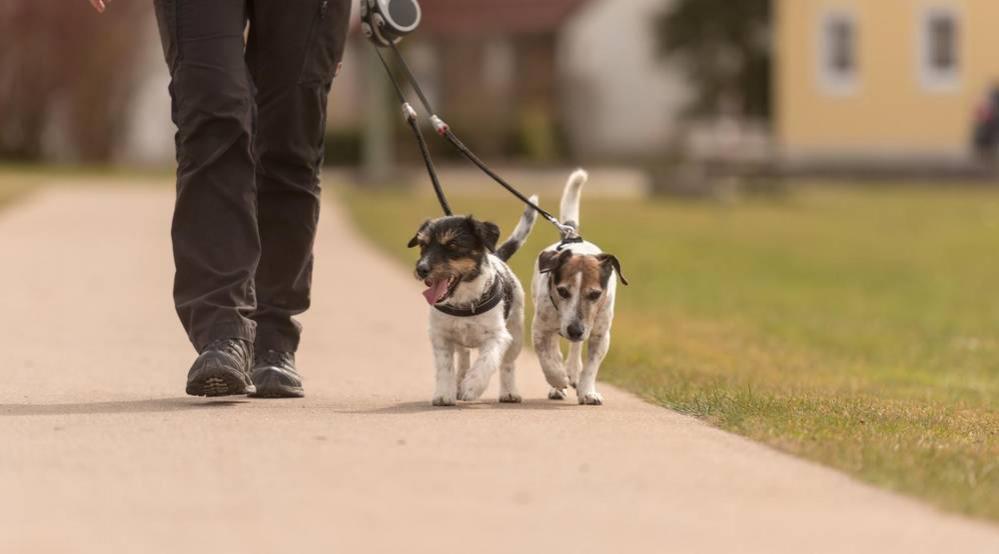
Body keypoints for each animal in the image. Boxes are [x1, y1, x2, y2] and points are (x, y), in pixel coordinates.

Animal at [410, 196, 540, 404]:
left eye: (452, 245)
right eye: (423, 245)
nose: (421, 269)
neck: (464, 302)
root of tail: (497, 256)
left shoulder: (498, 336)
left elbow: (486, 361)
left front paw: (471, 387)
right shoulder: (440, 335)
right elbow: (445, 366)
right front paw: (444, 394)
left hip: (516, 334)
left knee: (508, 364)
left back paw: (509, 392)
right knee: (463, 357)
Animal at [532, 168, 624, 402]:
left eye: (595, 294)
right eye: (562, 291)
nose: (574, 330)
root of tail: (571, 236)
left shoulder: (600, 334)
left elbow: (592, 365)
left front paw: (587, 390)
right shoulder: (539, 329)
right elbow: (547, 358)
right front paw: (558, 379)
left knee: (576, 347)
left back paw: (573, 370)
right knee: (555, 348)